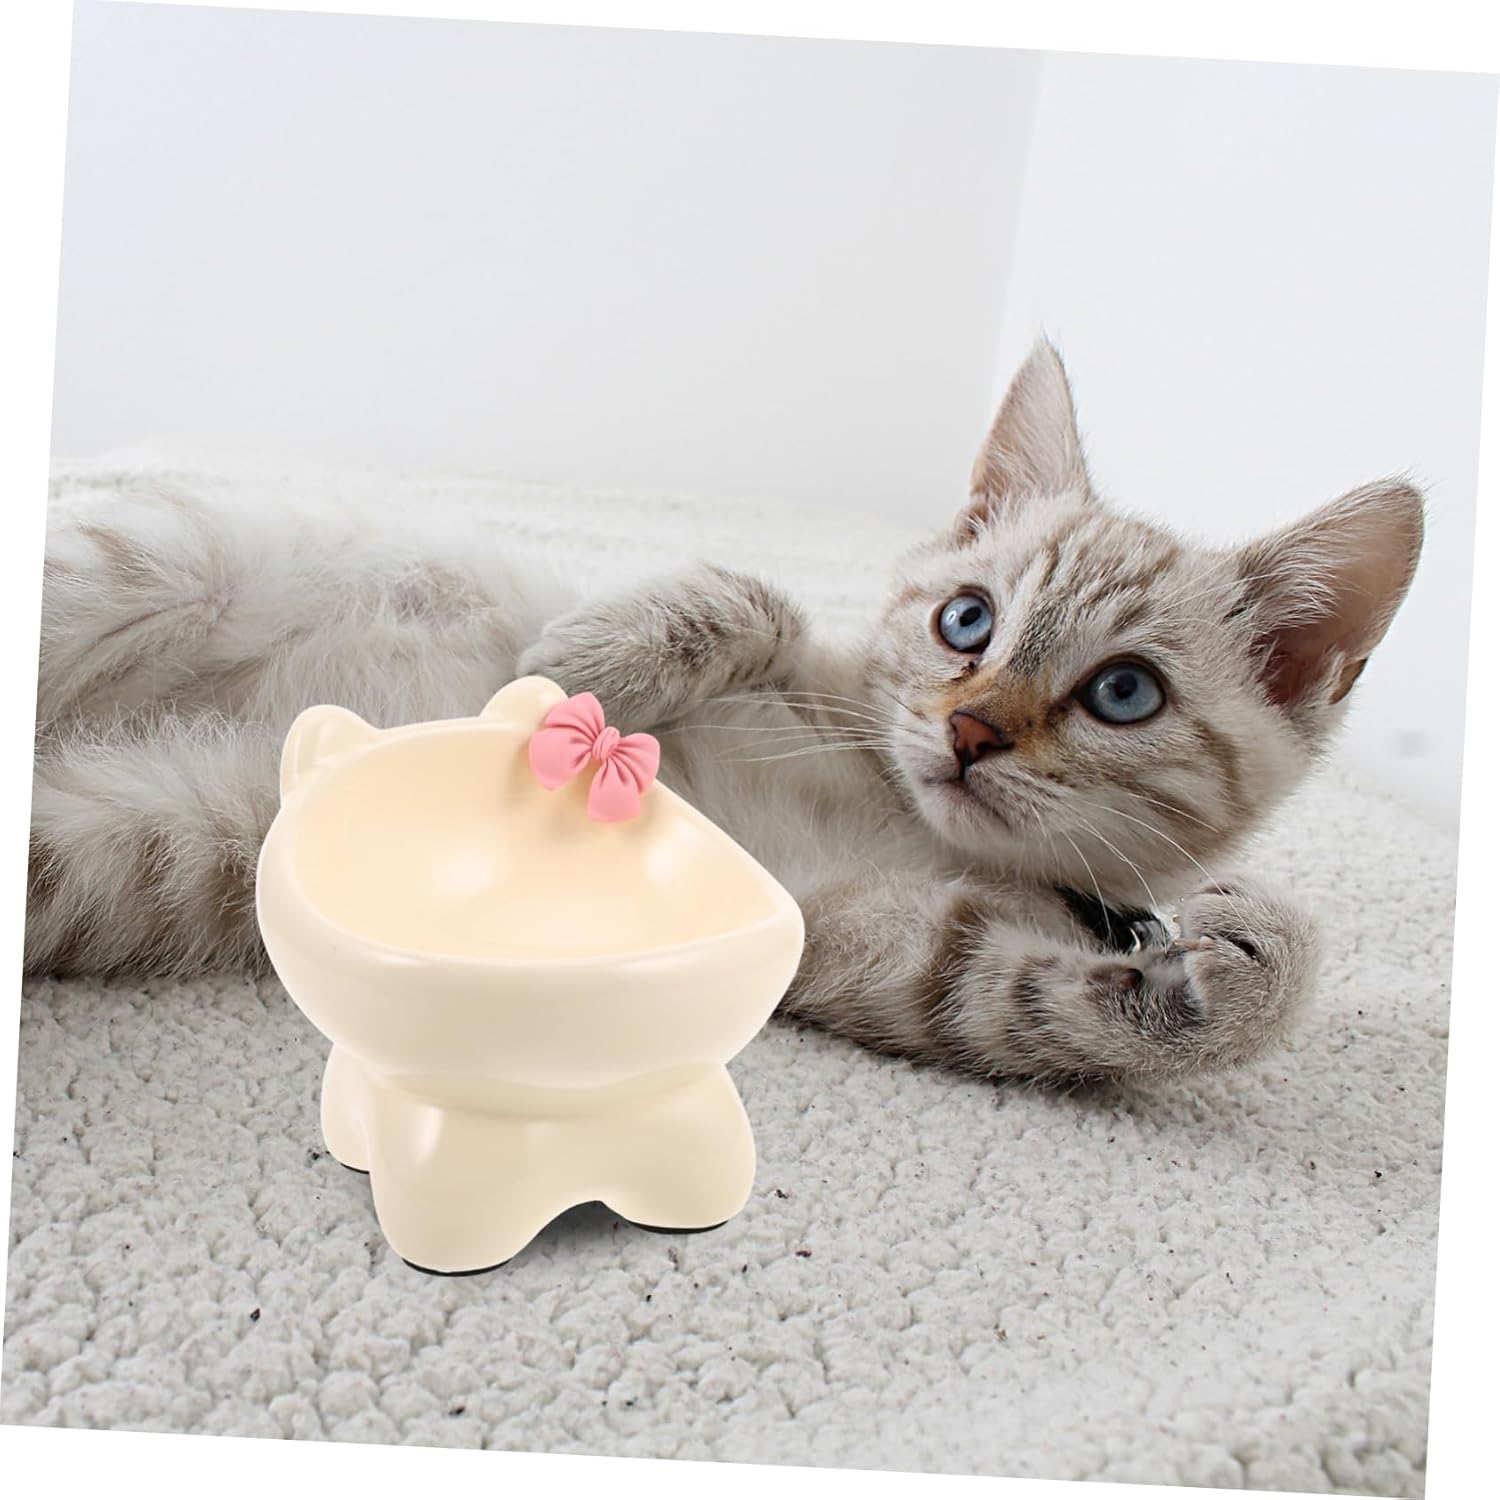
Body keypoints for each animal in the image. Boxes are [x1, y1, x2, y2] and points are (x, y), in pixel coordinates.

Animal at [27, 340, 1423, 1086]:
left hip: (125, 844)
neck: (892, 811)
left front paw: (1247, 964)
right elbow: (745, 597)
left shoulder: (871, 946)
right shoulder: (815, 664)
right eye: (966, 622)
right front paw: (585, 663)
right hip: (143, 563)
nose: (970, 731)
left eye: (1123, 693)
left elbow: (1023, 999)